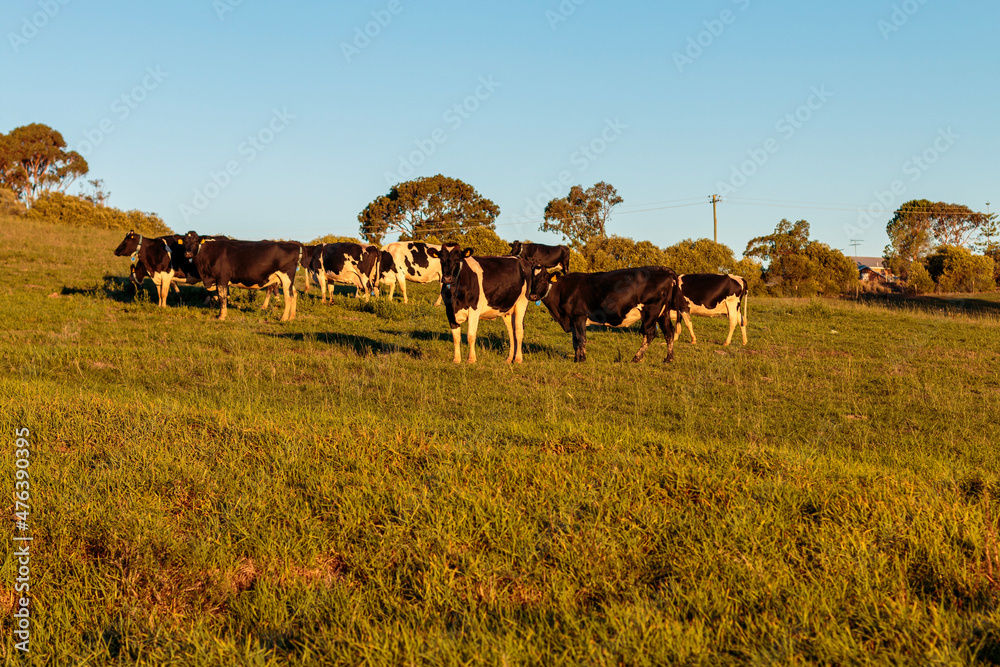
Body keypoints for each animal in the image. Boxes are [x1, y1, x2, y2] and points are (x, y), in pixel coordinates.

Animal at [526, 266, 685, 363]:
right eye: (531, 280)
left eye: (543, 279)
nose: (532, 296)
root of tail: (664, 270)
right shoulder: (571, 319)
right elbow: (575, 340)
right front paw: (577, 358)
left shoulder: (579, 316)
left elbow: (581, 338)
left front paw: (581, 359)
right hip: (663, 313)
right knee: (669, 333)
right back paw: (668, 359)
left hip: (650, 312)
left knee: (650, 333)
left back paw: (636, 358)